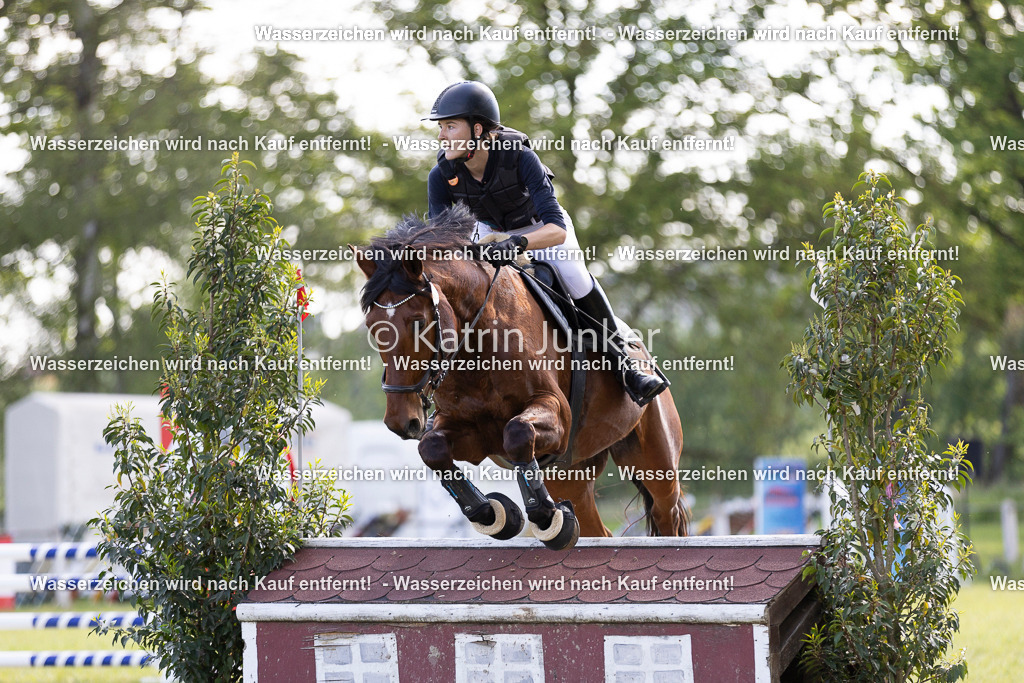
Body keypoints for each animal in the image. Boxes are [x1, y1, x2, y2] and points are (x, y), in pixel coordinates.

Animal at [354, 205, 688, 548]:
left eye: (419, 322)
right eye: (371, 326)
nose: (400, 422)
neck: (478, 344)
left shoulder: (557, 414)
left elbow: (518, 432)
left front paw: (546, 517)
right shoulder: (468, 431)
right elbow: (432, 448)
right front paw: (492, 514)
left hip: (655, 461)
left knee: (666, 513)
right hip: (568, 474)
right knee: (598, 528)